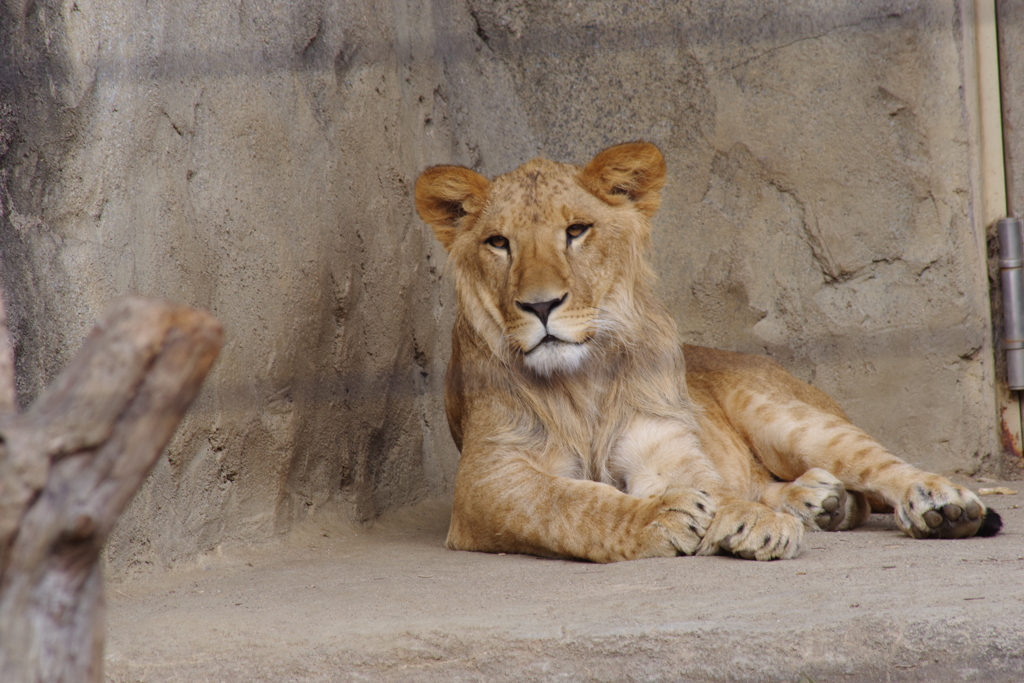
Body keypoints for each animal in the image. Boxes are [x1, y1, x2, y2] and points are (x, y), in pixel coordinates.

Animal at [413, 141, 999, 565]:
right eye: (498, 243)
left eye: (576, 230)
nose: (540, 305)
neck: (580, 380)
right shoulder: (489, 481)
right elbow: (568, 502)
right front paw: (661, 517)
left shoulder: (663, 445)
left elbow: (712, 485)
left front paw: (749, 521)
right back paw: (820, 501)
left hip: (788, 417)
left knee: (877, 464)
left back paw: (944, 507)